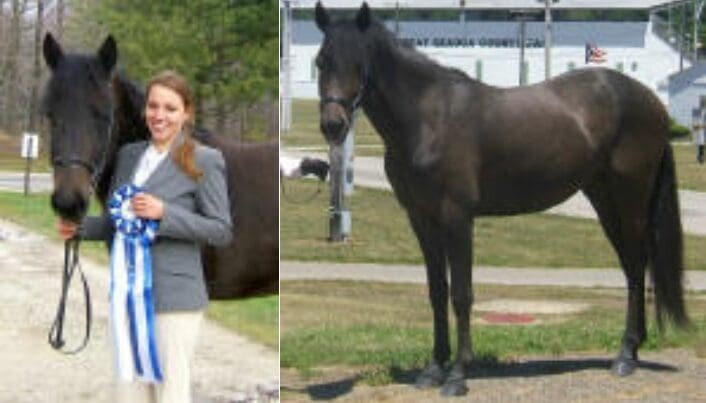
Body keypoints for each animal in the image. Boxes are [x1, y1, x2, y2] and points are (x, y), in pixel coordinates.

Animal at [314, 0, 688, 398]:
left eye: (359, 63)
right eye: (321, 61)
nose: (333, 125)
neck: (429, 118)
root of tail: (651, 101)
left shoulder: (457, 217)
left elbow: (461, 294)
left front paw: (458, 374)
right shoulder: (421, 218)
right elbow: (436, 292)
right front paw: (433, 369)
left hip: (631, 198)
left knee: (636, 264)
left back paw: (625, 356)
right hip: (604, 199)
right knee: (633, 266)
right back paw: (632, 348)